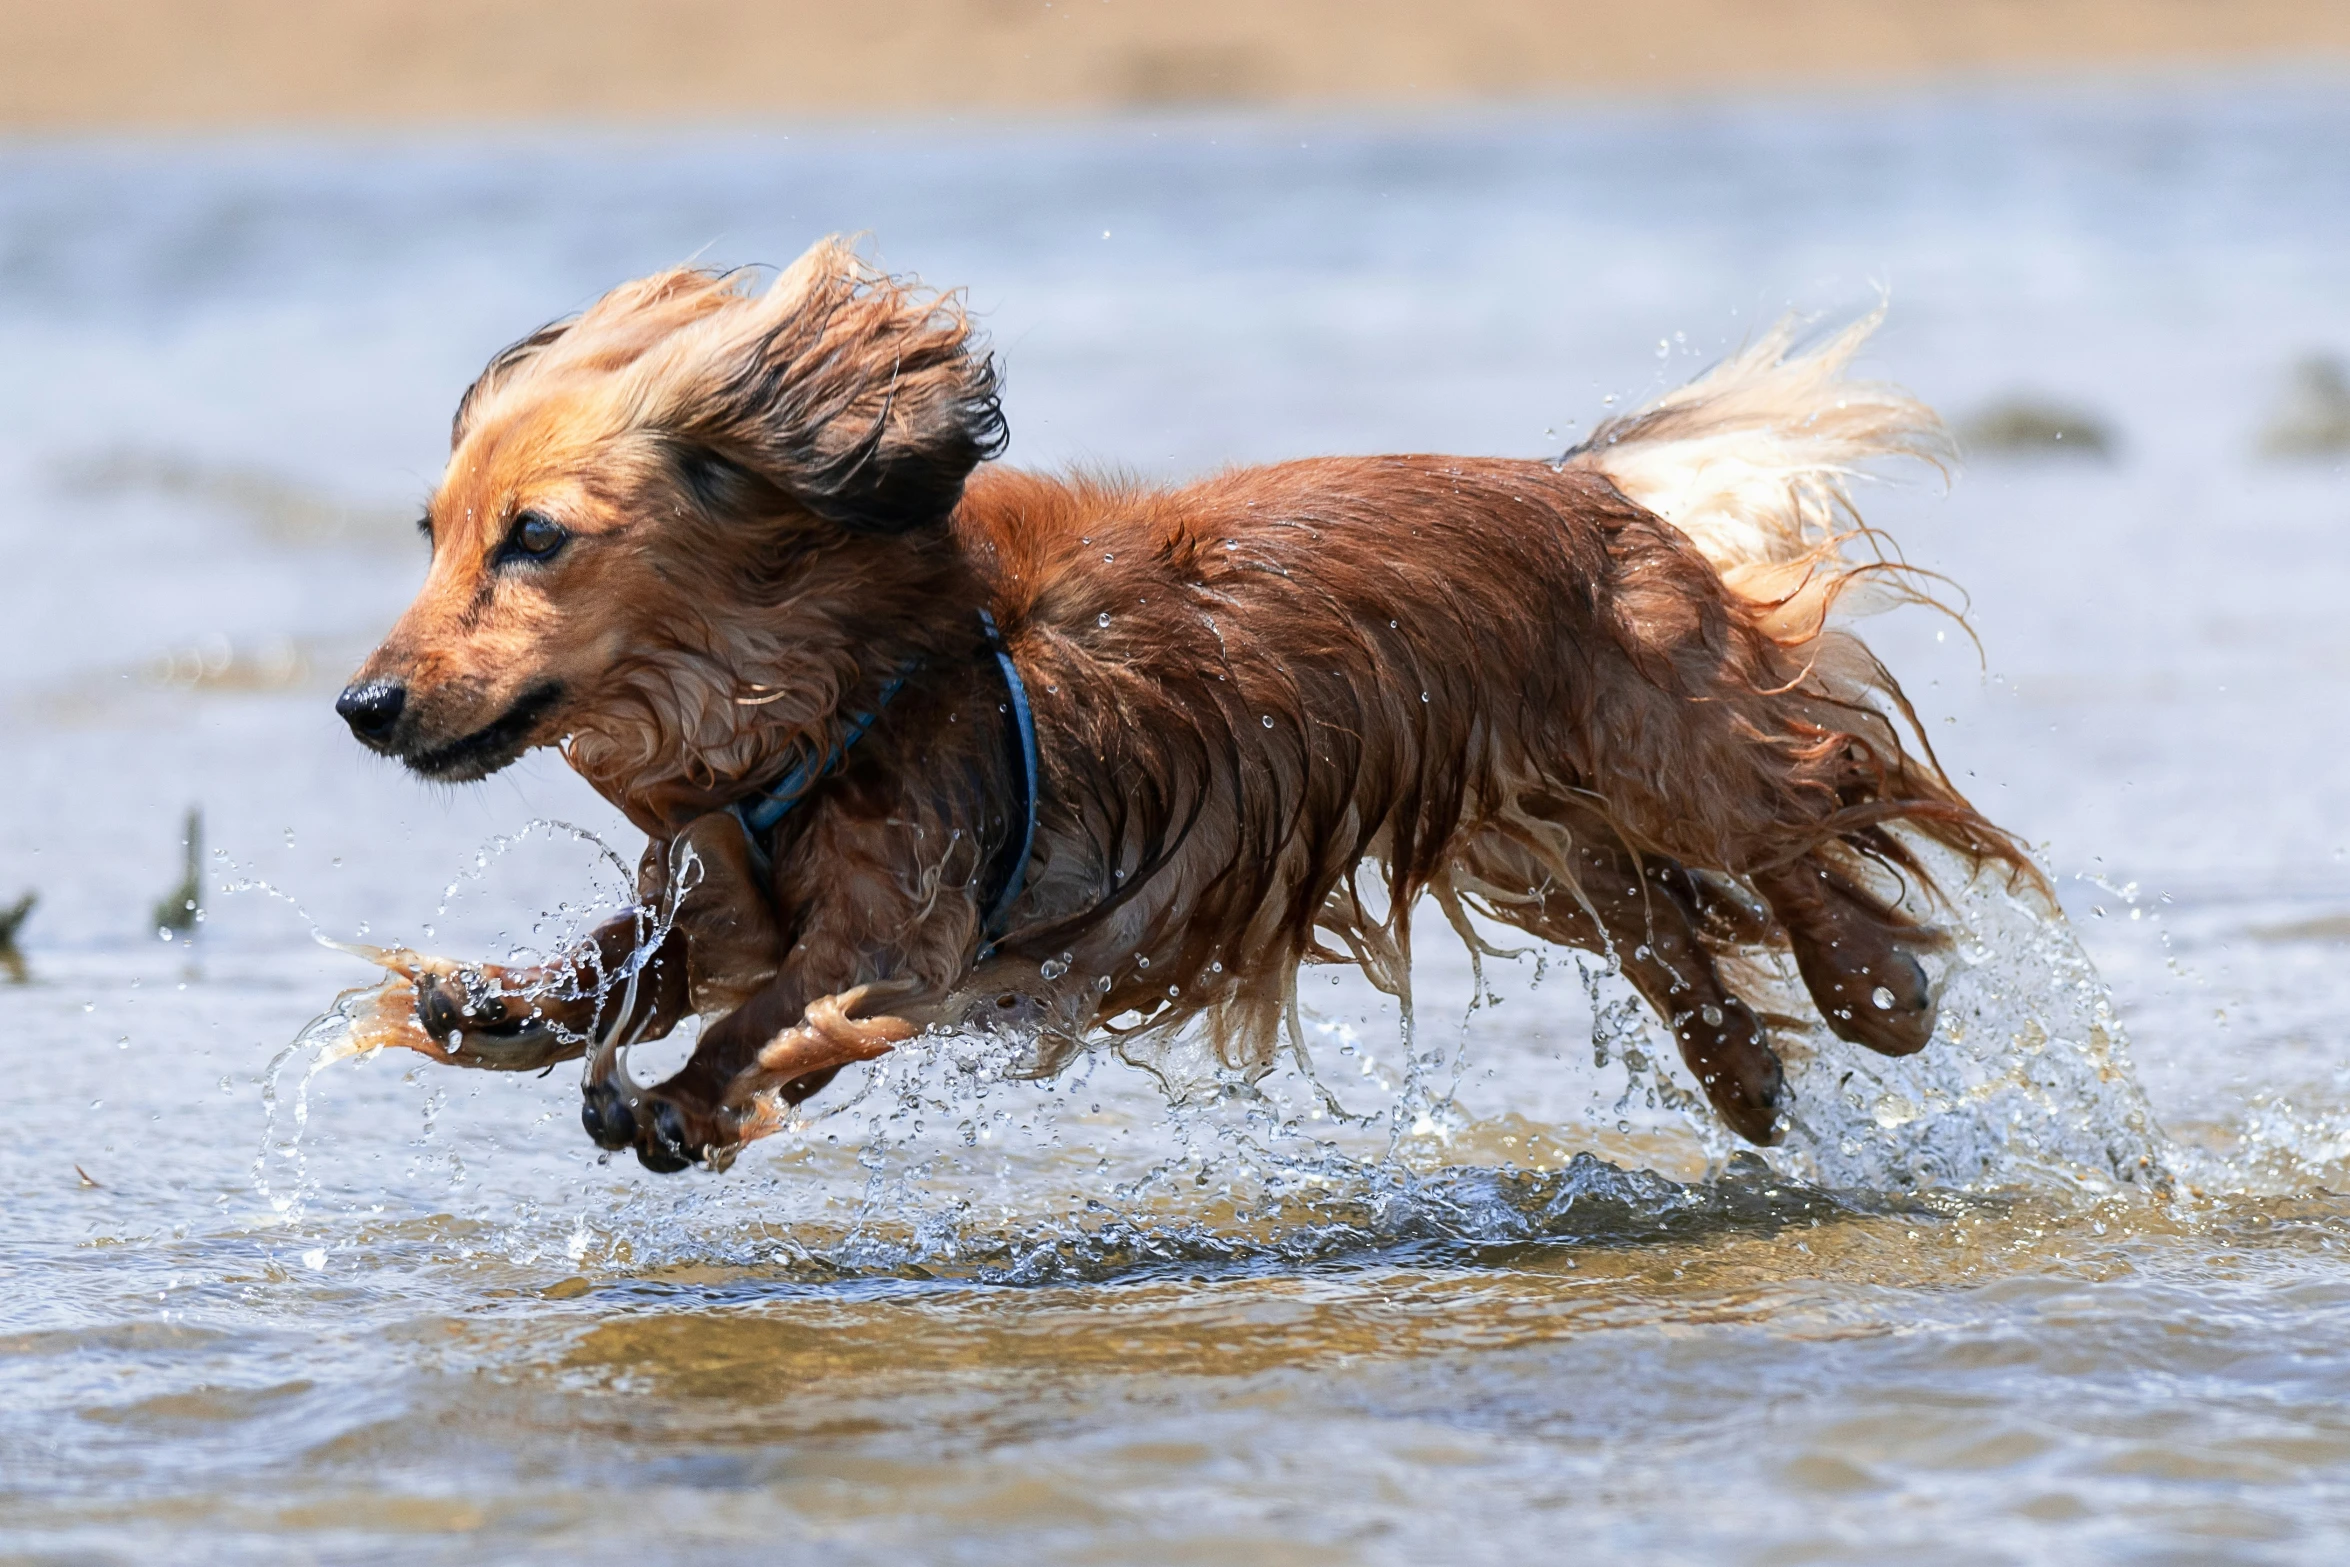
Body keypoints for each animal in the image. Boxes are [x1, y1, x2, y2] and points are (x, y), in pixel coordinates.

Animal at [336, 239, 2039, 1169]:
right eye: (431, 531)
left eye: (535, 536)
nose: (363, 705)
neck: (831, 681)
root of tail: (1593, 494)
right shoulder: (732, 884)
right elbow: (636, 957)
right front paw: (501, 1002)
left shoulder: (905, 931)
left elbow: (775, 1012)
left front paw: (686, 1097)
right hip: (1533, 827)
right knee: (1667, 913)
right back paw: (1743, 1073)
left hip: (1669, 750)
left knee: (1818, 799)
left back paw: (1874, 985)